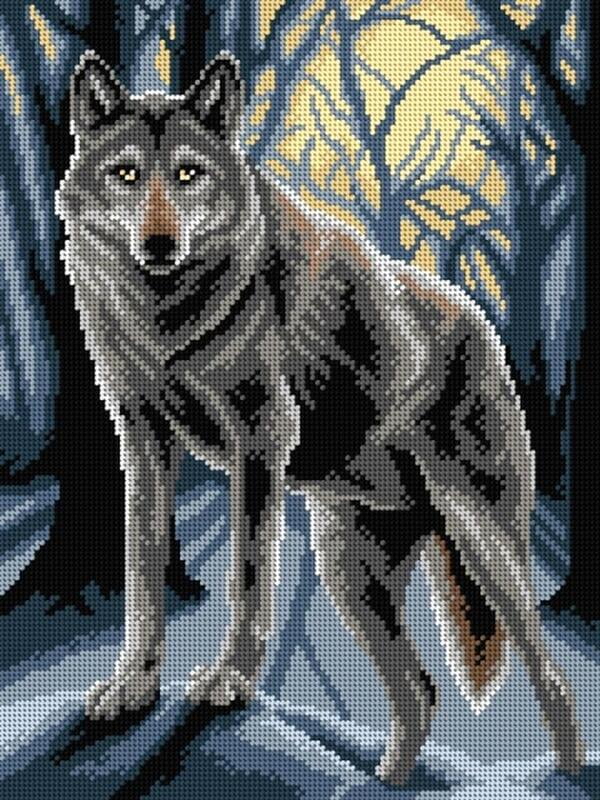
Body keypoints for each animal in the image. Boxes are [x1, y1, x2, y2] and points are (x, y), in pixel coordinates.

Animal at [56, 50, 585, 785]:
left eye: (188, 174)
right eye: (127, 174)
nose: (159, 244)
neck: (166, 321)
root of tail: (486, 329)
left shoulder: (260, 441)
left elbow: (248, 578)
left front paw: (230, 681)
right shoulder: (141, 438)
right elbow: (143, 572)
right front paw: (133, 685)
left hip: (484, 549)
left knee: (551, 679)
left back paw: (567, 772)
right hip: (348, 574)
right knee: (421, 692)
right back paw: (386, 780)